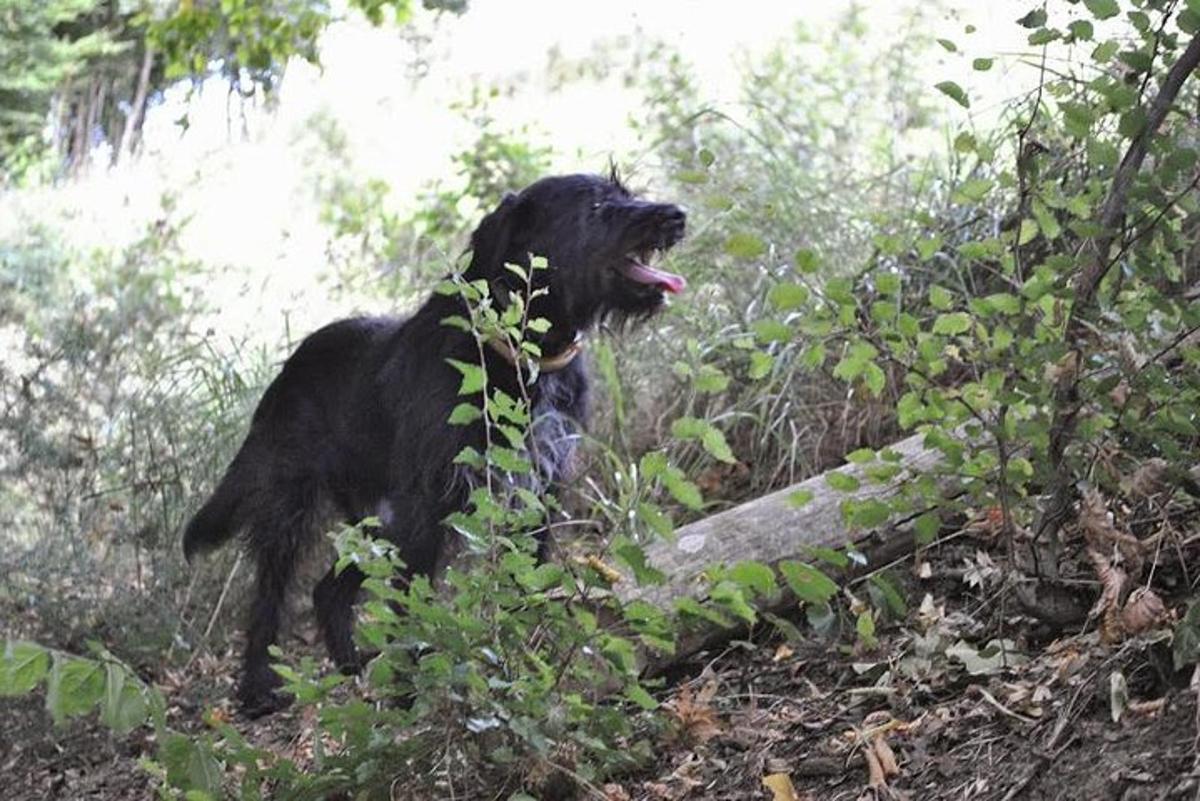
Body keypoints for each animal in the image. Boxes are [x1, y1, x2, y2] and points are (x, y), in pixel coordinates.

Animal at [178, 173, 686, 714]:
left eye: (625, 192)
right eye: (596, 207)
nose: (677, 215)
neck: (517, 356)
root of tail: (287, 370)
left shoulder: (537, 487)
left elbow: (524, 576)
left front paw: (525, 659)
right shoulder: (430, 500)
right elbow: (411, 604)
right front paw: (408, 690)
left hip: (379, 518)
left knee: (327, 590)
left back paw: (351, 665)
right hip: (293, 507)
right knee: (270, 594)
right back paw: (258, 685)